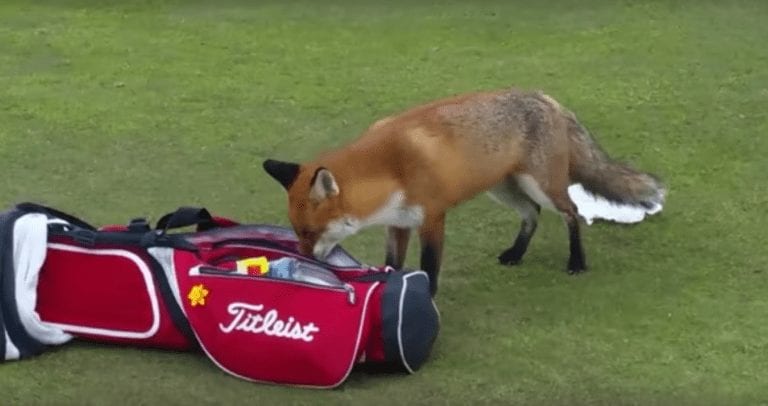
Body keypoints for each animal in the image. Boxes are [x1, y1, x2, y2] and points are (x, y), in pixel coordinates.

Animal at [262, 87, 665, 296]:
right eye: (296, 231)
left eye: (310, 231)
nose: (305, 259)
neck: (391, 168)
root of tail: (546, 97)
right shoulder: (398, 223)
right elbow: (394, 262)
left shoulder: (432, 218)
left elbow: (429, 267)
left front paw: (426, 300)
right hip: (504, 189)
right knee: (531, 216)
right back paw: (516, 254)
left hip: (543, 187)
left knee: (572, 214)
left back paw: (577, 262)